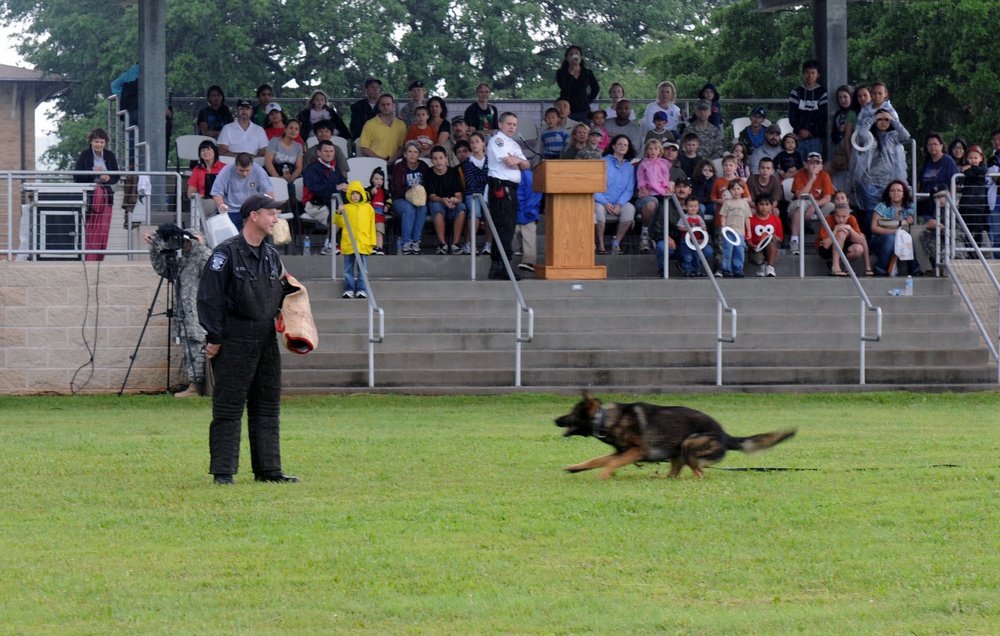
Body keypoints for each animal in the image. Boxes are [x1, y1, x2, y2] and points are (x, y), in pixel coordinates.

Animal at [556, 390, 796, 480]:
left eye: (572, 414)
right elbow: (597, 459)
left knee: (700, 473)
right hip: (676, 450)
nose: (555, 420)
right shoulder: (622, 452)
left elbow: (610, 463)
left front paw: (603, 476)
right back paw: (660, 478)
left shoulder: (636, 451)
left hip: (690, 444)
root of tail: (725, 435)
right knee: (674, 473)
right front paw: (575, 468)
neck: (605, 418)